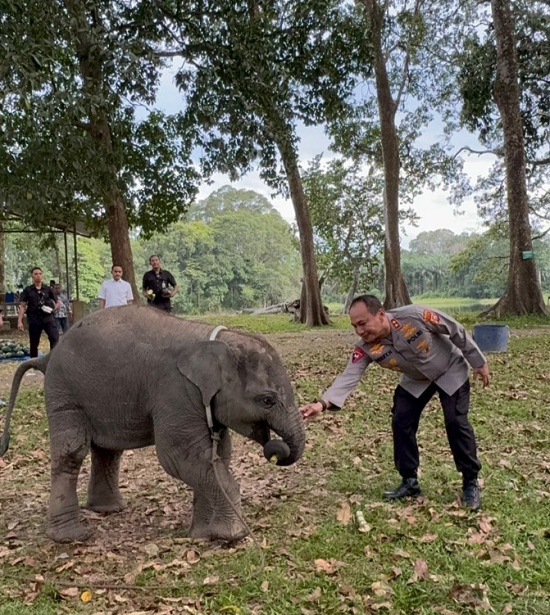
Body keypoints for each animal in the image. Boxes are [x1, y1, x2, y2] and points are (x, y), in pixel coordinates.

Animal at [0, 305, 305, 543]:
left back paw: (108, 510)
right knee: (72, 452)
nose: (276, 449)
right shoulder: (176, 392)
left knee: (108, 450)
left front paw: (201, 535)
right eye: (267, 400)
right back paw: (71, 537)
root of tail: (48, 356)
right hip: (65, 393)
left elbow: (216, 455)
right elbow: (179, 456)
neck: (214, 340)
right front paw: (232, 536)